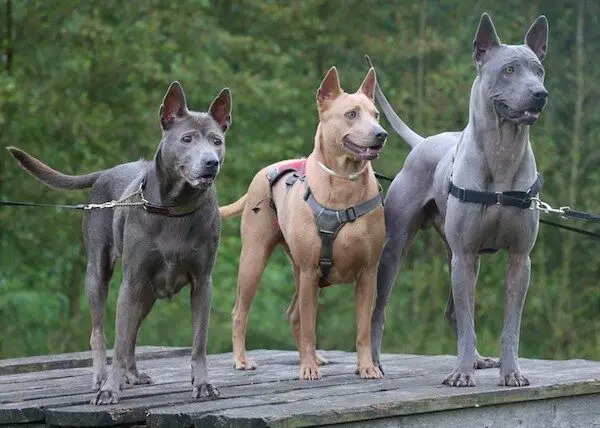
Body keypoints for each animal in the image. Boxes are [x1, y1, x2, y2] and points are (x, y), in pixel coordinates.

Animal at [7, 81, 232, 404]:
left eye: (217, 141)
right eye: (187, 139)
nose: (210, 163)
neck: (175, 208)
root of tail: (105, 172)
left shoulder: (203, 283)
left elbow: (198, 341)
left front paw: (202, 384)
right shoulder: (131, 281)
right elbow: (120, 339)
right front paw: (110, 389)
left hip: (147, 293)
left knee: (133, 335)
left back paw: (132, 374)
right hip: (99, 275)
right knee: (101, 332)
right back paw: (102, 378)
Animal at [370, 14, 548, 388]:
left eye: (538, 70)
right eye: (509, 70)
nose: (540, 94)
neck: (503, 154)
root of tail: (424, 141)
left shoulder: (519, 259)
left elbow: (511, 325)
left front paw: (510, 372)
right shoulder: (465, 255)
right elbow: (468, 321)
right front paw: (461, 374)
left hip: (458, 256)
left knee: (453, 311)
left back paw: (479, 359)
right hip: (396, 249)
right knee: (379, 310)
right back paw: (374, 363)